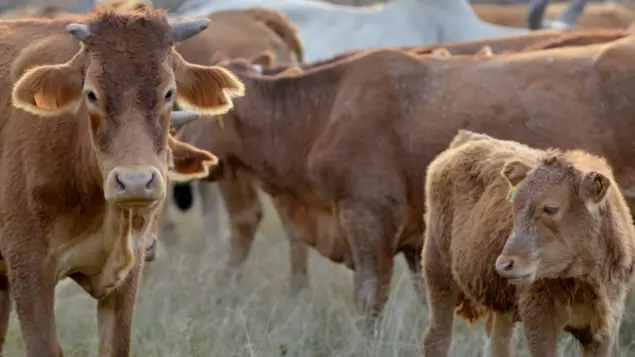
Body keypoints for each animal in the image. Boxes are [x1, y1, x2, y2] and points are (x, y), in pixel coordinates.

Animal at [422, 130, 635, 356]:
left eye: (551, 208)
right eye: (514, 204)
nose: (504, 264)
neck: (583, 280)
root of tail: (466, 139)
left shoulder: (604, 330)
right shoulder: (539, 321)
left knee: (500, 342)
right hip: (438, 274)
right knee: (437, 337)